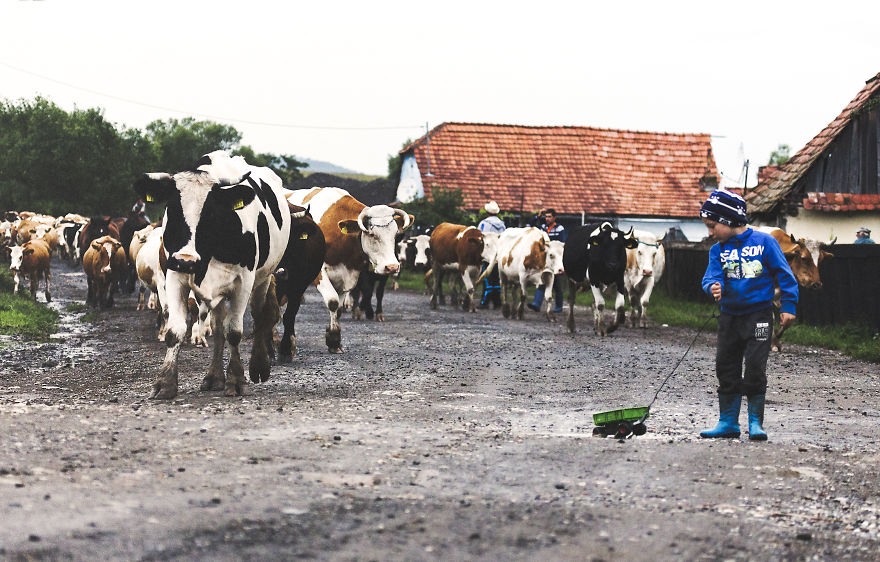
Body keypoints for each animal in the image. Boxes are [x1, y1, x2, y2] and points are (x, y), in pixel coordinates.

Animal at [134, 150, 290, 398]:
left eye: (210, 212)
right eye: (173, 209)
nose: (186, 260)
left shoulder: (243, 282)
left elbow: (234, 331)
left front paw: (236, 379)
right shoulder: (175, 276)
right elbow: (176, 331)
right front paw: (165, 382)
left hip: (263, 279)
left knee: (258, 316)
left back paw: (258, 366)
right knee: (217, 329)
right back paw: (214, 377)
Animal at [286, 188, 416, 354]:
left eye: (396, 235)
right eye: (372, 234)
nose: (392, 267)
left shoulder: (349, 274)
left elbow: (340, 308)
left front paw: (334, 340)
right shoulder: (319, 272)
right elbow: (333, 301)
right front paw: (333, 337)